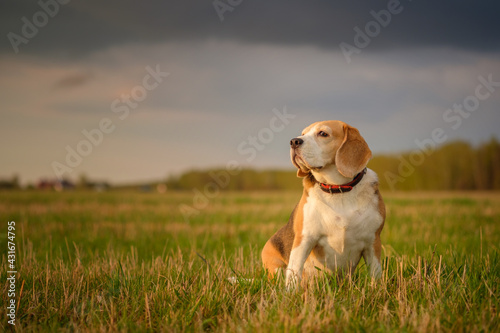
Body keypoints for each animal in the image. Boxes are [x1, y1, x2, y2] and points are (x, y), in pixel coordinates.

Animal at [262, 120, 386, 288]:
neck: (338, 189)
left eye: (323, 133)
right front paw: (290, 294)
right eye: (303, 133)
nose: (294, 141)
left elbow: (375, 273)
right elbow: (294, 272)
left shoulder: (373, 241)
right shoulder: (304, 239)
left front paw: (377, 290)